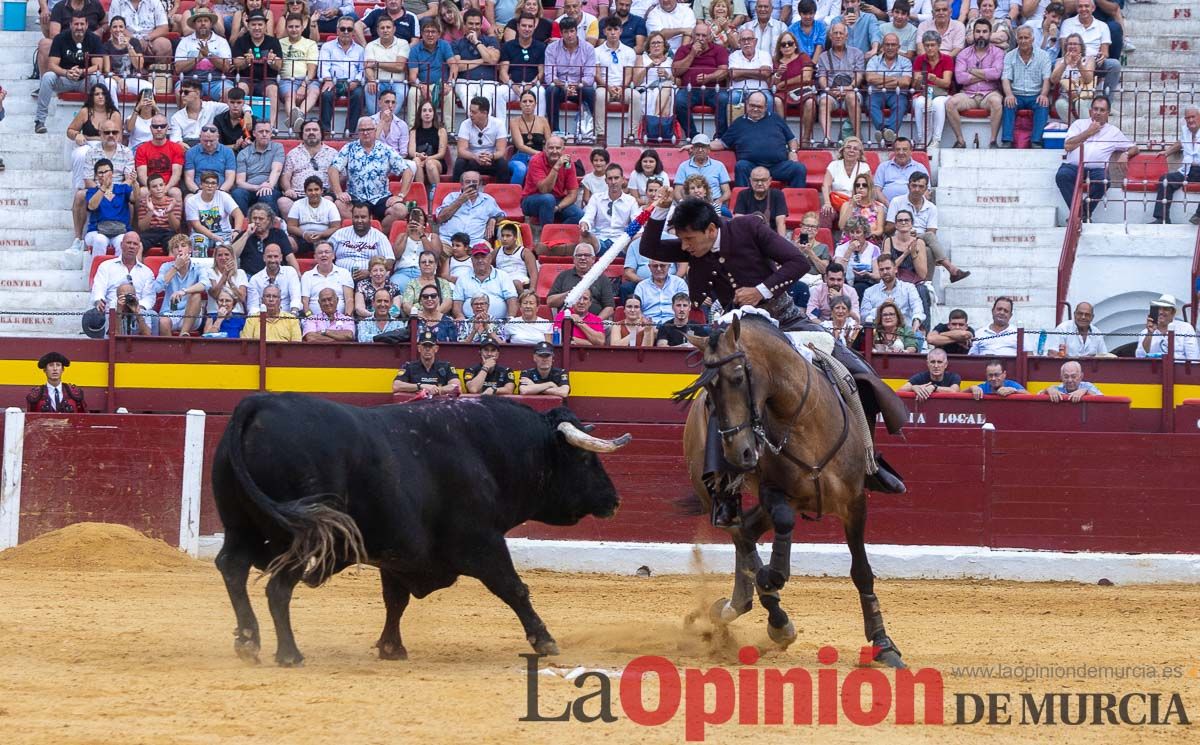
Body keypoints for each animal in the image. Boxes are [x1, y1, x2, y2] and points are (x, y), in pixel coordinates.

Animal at [212, 391, 633, 667]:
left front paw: (391, 648)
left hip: (241, 527)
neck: (487, 450)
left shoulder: (398, 556)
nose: (613, 499)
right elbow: (513, 588)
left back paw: (248, 642)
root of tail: (259, 403)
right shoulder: (482, 542)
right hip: (306, 538)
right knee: (277, 588)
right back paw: (288, 653)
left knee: (232, 567)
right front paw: (544, 641)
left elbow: (395, 601)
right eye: (584, 458)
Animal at [681, 311, 902, 667]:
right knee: (741, 535)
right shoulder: (776, 492)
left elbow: (862, 571)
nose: (739, 454)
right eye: (708, 389)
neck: (803, 420)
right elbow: (780, 532)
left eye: (738, 377)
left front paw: (884, 644)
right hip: (718, 495)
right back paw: (773, 618)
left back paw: (739, 605)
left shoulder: (854, 502)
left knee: (746, 531)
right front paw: (772, 580)